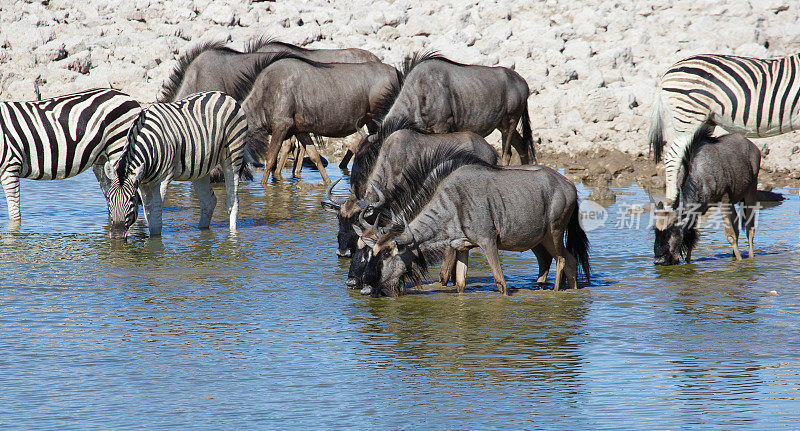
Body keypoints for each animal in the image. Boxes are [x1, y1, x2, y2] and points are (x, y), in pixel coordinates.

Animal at [104, 92, 247, 240]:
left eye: (132, 199)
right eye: (109, 198)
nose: (117, 235)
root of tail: (223, 95)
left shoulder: (163, 179)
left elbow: (156, 217)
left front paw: (155, 241)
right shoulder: (143, 183)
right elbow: (148, 214)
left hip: (234, 155)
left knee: (232, 201)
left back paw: (232, 235)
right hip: (201, 166)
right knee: (209, 202)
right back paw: (203, 232)